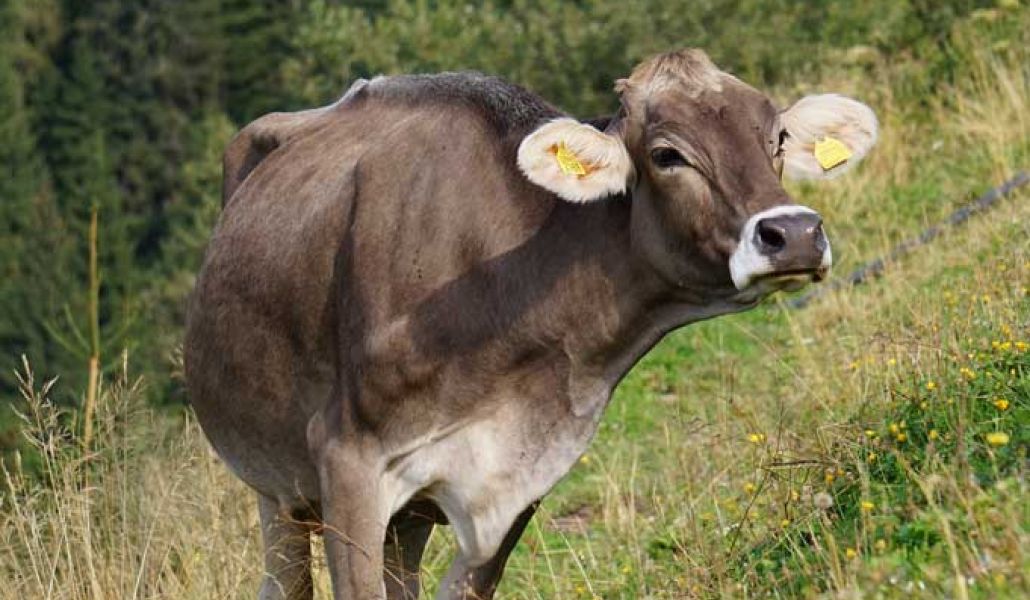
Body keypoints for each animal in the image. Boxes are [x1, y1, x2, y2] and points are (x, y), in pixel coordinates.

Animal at [184, 48, 877, 599]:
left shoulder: (521, 474)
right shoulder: (345, 458)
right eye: (666, 154)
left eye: (777, 138)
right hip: (277, 489)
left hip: (401, 517)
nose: (793, 233)